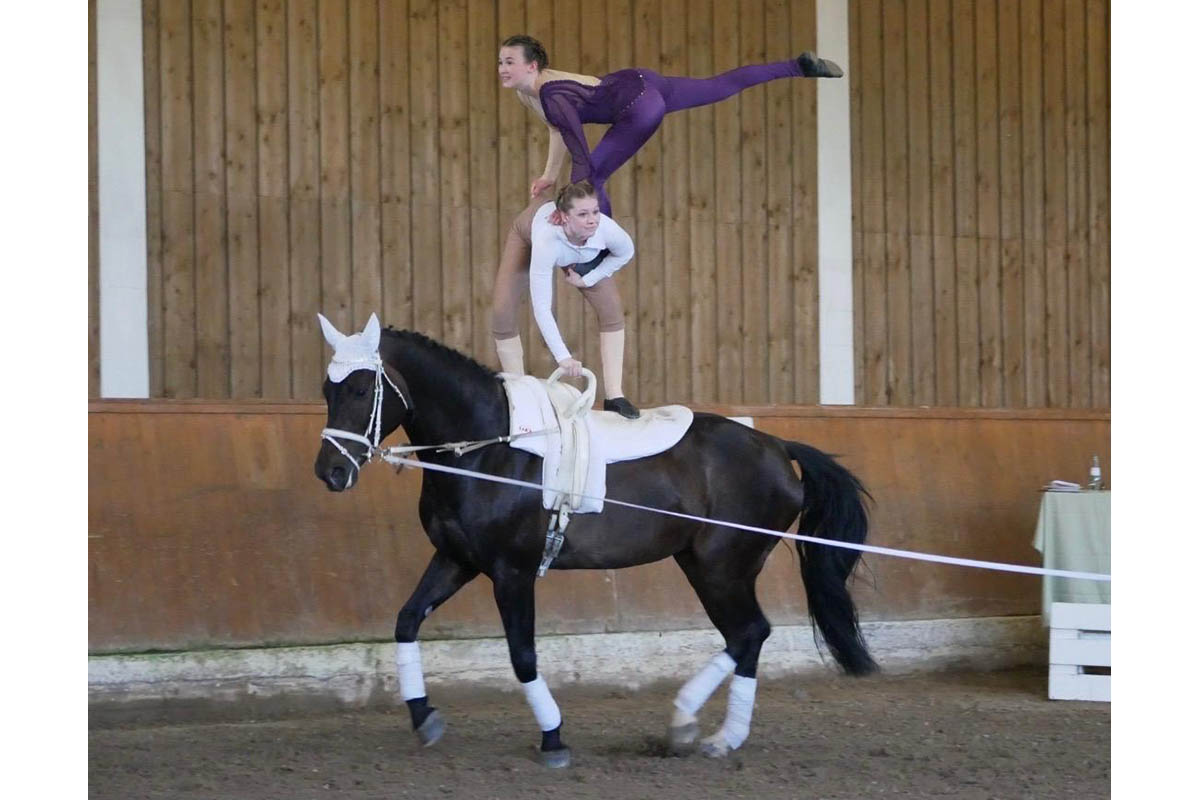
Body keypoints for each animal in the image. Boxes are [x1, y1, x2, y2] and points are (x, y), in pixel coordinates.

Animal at [309, 319, 878, 767]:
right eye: (327, 391)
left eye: (359, 391)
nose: (330, 472)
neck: (488, 448)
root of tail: (778, 446)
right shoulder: (456, 560)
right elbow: (406, 621)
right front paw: (424, 716)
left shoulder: (512, 571)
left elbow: (522, 655)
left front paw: (553, 739)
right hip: (703, 564)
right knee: (747, 636)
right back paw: (703, 731)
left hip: (722, 566)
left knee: (750, 632)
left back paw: (703, 730)